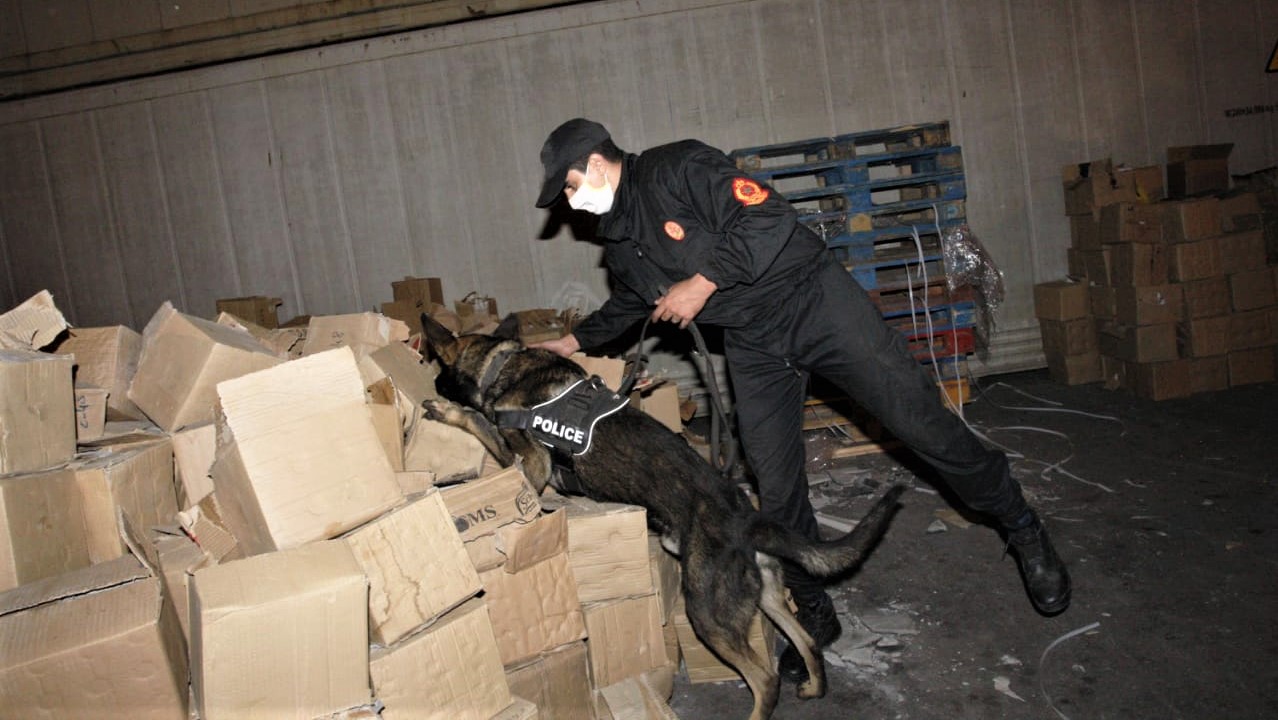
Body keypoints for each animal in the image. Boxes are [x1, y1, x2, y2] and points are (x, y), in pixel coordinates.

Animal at [419, 317, 899, 720]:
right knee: (807, 642)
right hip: (764, 597)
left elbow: (480, 423)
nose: (430, 378)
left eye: (436, 362)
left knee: (765, 679)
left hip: (707, 611)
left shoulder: (530, 469)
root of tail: (746, 520)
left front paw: (448, 411)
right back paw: (815, 687)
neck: (503, 363)